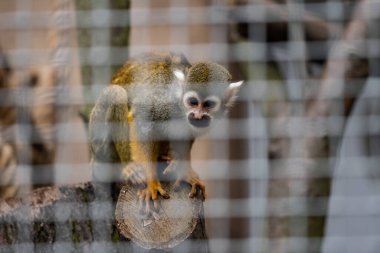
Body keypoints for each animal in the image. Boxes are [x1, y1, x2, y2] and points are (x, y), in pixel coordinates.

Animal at [89, 52, 243, 212]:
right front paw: (151, 183)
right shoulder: (162, 100)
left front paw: (185, 170)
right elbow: (142, 123)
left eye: (209, 104)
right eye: (193, 102)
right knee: (115, 94)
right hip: (101, 148)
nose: (197, 115)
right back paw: (130, 168)